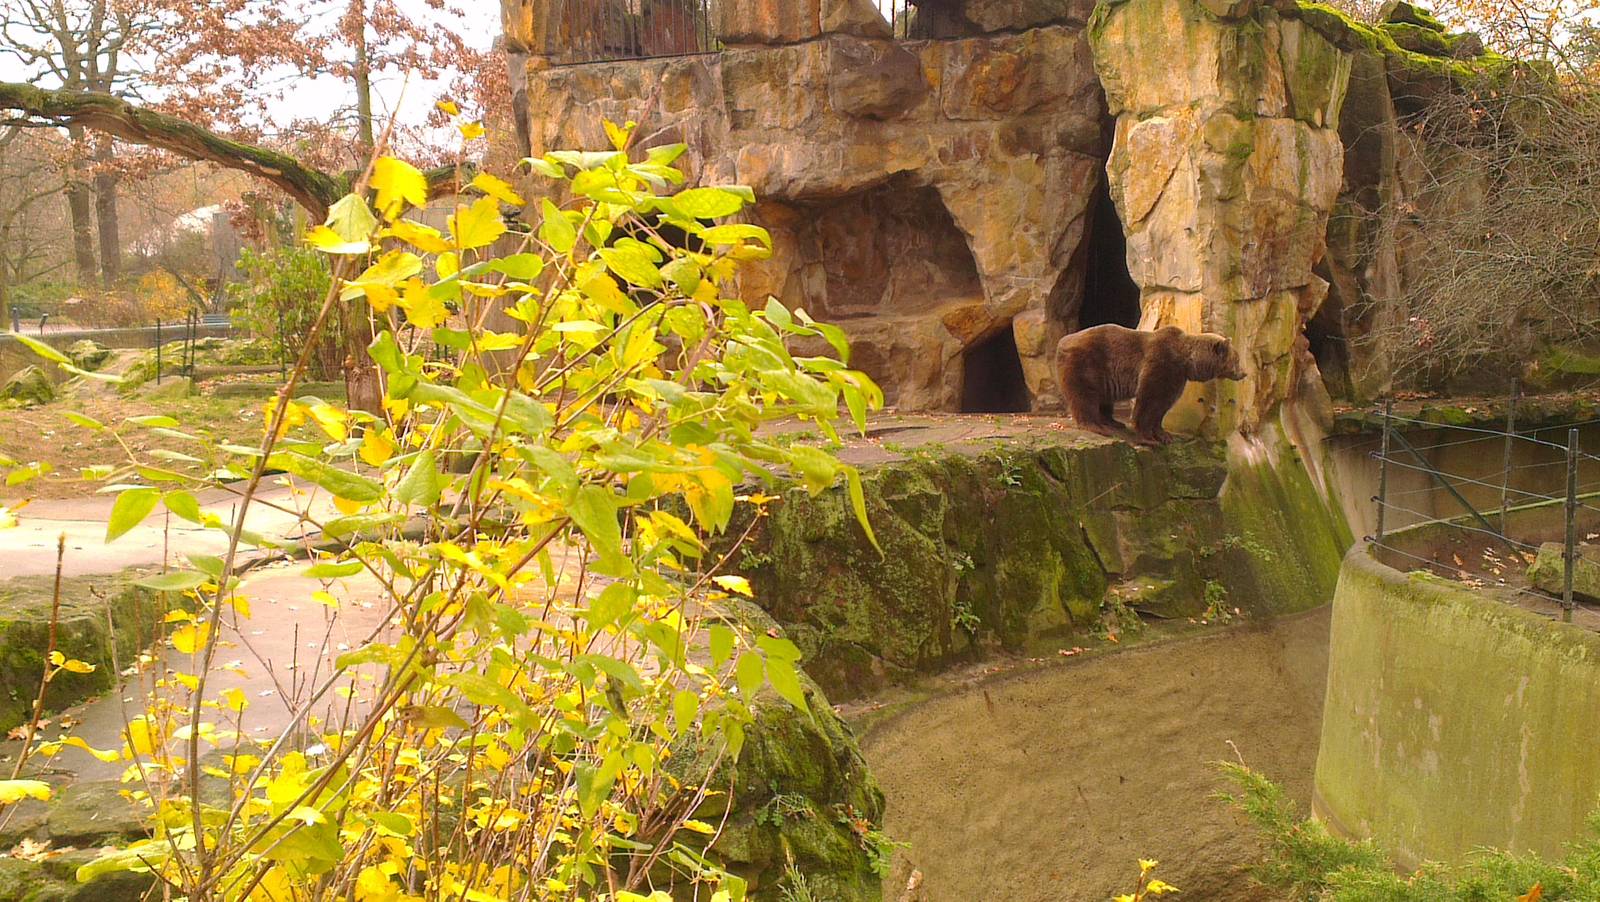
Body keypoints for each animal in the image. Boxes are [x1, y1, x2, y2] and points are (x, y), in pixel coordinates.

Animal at [1055, 324, 1246, 446]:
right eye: (1237, 359)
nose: (1244, 373)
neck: (1186, 361)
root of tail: (1062, 341)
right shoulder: (1161, 363)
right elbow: (1149, 399)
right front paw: (1148, 437)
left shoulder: (1176, 378)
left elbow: (1163, 404)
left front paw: (1164, 435)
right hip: (1087, 363)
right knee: (1085, 395)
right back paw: (1096, 426)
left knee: (1104, 399)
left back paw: (1112, 422)